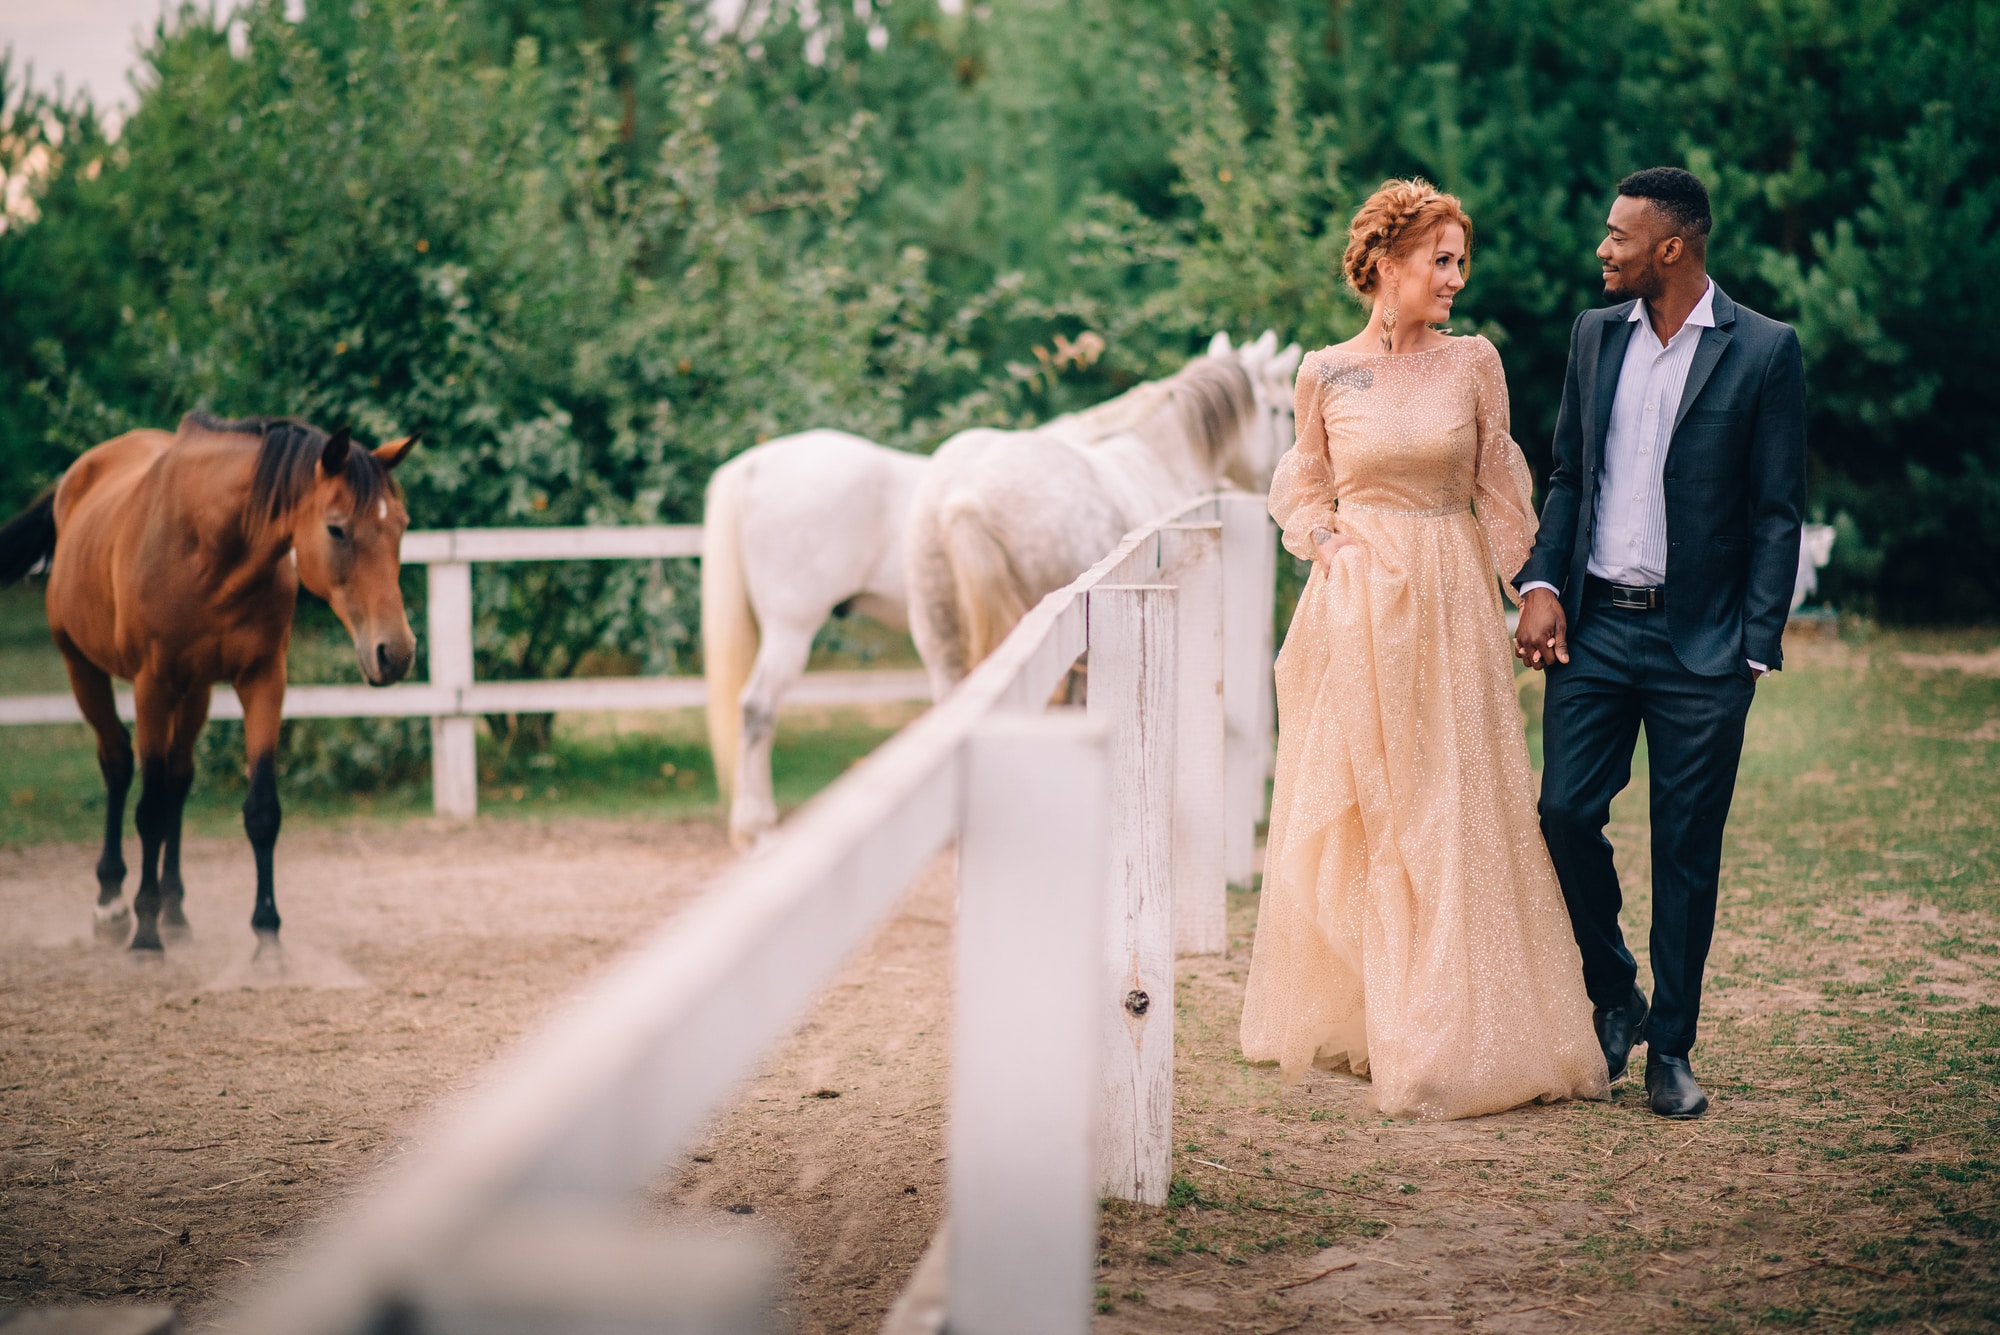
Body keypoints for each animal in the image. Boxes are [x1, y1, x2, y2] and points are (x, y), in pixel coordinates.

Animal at [0, 413, 418, 947]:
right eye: (337, 530)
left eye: (400, 526)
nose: (396, 653)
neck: (211, 551)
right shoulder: (151, 685)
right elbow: (149, 810)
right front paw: (145, 934)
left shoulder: (264, 679)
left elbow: (260, 811)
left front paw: (267, 936)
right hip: (84, 670)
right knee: (118, 764)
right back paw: (113, 905)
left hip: (194, 691)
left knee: (178, 778)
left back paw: (175, 911)